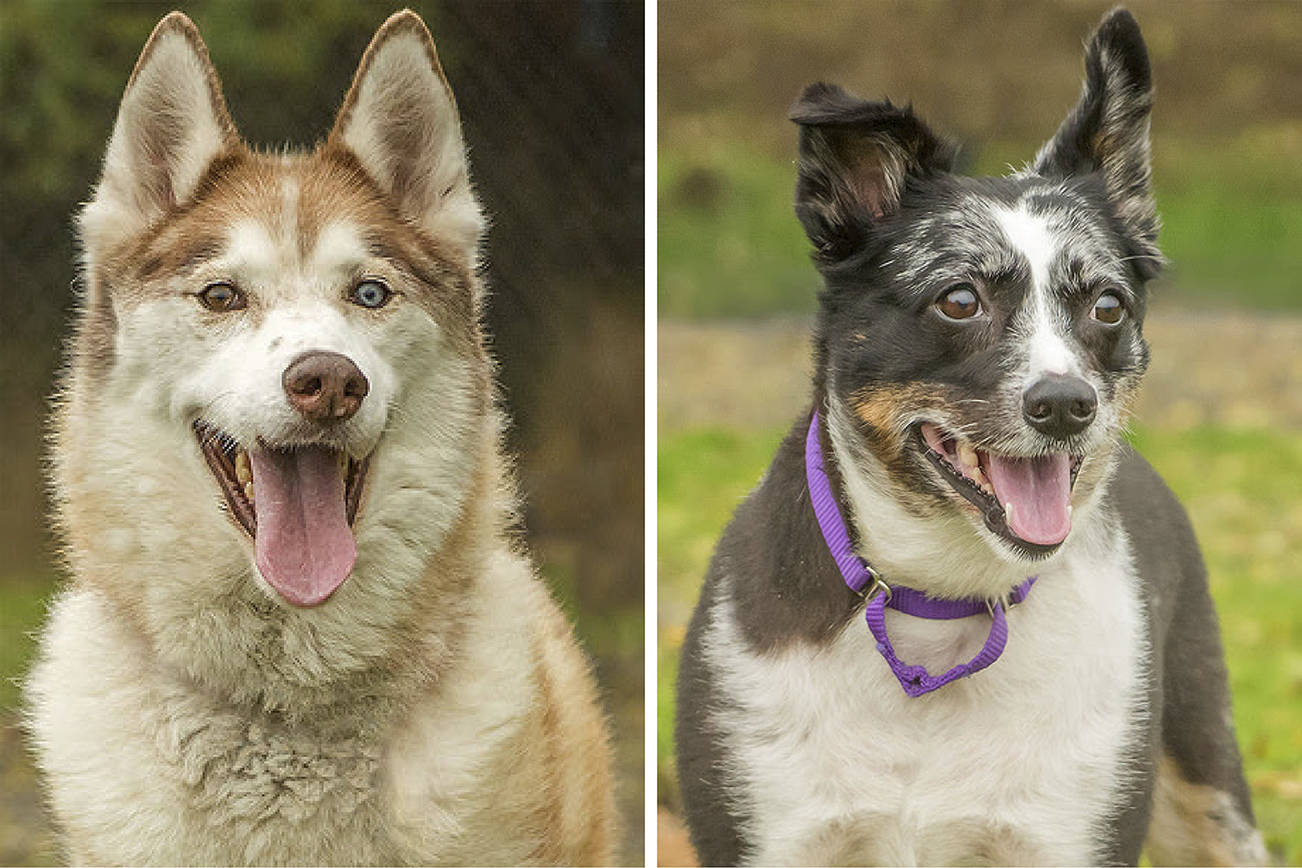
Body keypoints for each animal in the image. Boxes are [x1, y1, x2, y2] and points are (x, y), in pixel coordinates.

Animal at [677, 8, 1265, 868]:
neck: (943, 603)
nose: (1068, 404)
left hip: (1207, 783)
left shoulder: (1068, 832)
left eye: (1109, 306)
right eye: (960, 299)